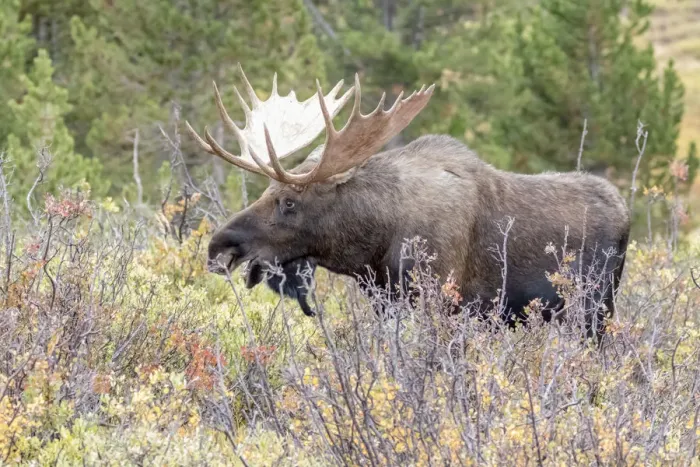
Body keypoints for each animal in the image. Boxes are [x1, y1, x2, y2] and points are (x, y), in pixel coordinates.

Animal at [186, 65, 630, 340]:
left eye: (290, 202)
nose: (219, 245)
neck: (374, 242)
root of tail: (626, 213)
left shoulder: (440, 299)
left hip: (594, 311)